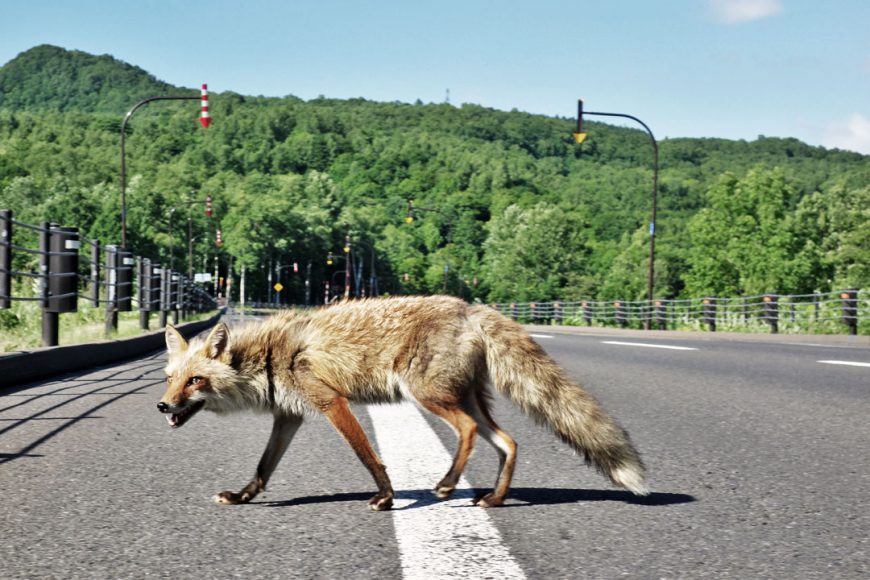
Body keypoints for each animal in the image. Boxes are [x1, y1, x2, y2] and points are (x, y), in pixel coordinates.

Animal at [158, 296, 648, 510]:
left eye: (195, 381)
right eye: (169, 380)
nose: (162, 407)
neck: (267, 357)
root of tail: (470, 306)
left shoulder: (331, 402)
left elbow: (368, 456)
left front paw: (387, 497)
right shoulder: (289, 417)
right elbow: (263, 469)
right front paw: (242, 497)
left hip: (427, 395)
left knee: (469, 431)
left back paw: (448, 485)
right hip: (465, 399)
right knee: (509, 442)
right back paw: (494, 498)